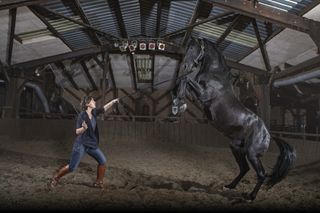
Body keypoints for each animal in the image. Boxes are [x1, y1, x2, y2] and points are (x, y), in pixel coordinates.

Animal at [171, 37, 296, 201]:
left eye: (193, 48)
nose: (185, 66)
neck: (215, 76)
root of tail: (268, 134)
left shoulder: (203, 95)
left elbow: (185, 79)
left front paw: (178, 103)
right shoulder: (197, 95)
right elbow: (183, 81)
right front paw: (177, 103)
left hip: (252, 153)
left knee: (261, 174)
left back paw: (250, 196)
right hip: (236, 147)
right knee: (244, 168)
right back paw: (230, 186)